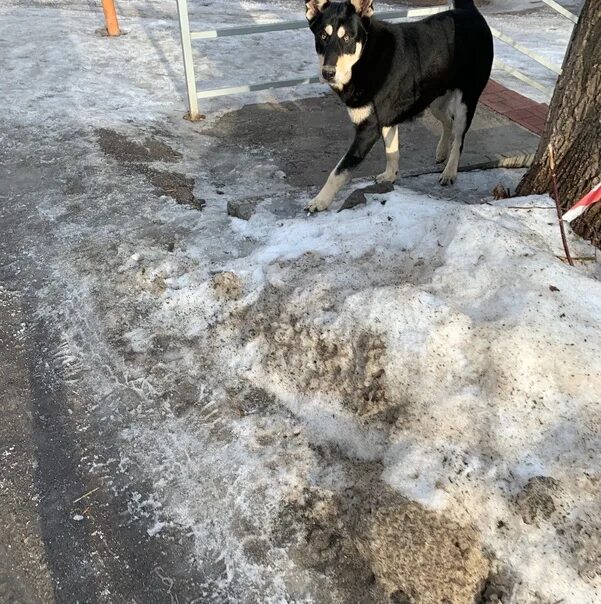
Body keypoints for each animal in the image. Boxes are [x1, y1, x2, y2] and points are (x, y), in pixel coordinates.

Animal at [304, 0, 492, 212]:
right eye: (323, 36)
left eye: (348, 37)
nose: (327, 73)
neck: (366, 58)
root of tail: (470, 11)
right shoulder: (386, 121)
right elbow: (392, 152)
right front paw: (390, 176)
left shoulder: (368, 130)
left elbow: (339, 171)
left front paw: (320, 201)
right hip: (433, 99)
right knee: (447, 122)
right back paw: (442, 151)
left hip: (465, 102)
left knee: (459, 139)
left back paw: (450, 171)